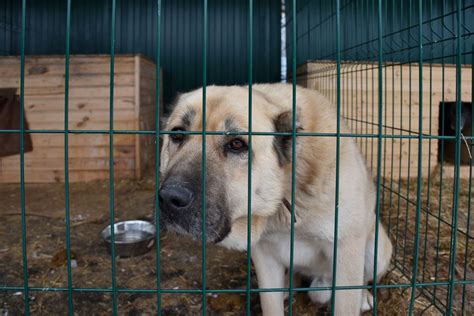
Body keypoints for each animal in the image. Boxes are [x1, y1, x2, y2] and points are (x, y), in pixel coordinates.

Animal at [159, 82, 392, 314]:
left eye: (236, 144)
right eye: (177, 135)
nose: (169, 198)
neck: (286, 195)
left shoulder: (346, 251)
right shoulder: (264, 256)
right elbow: (271, 303)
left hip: (376, 251)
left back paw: (363, 296)